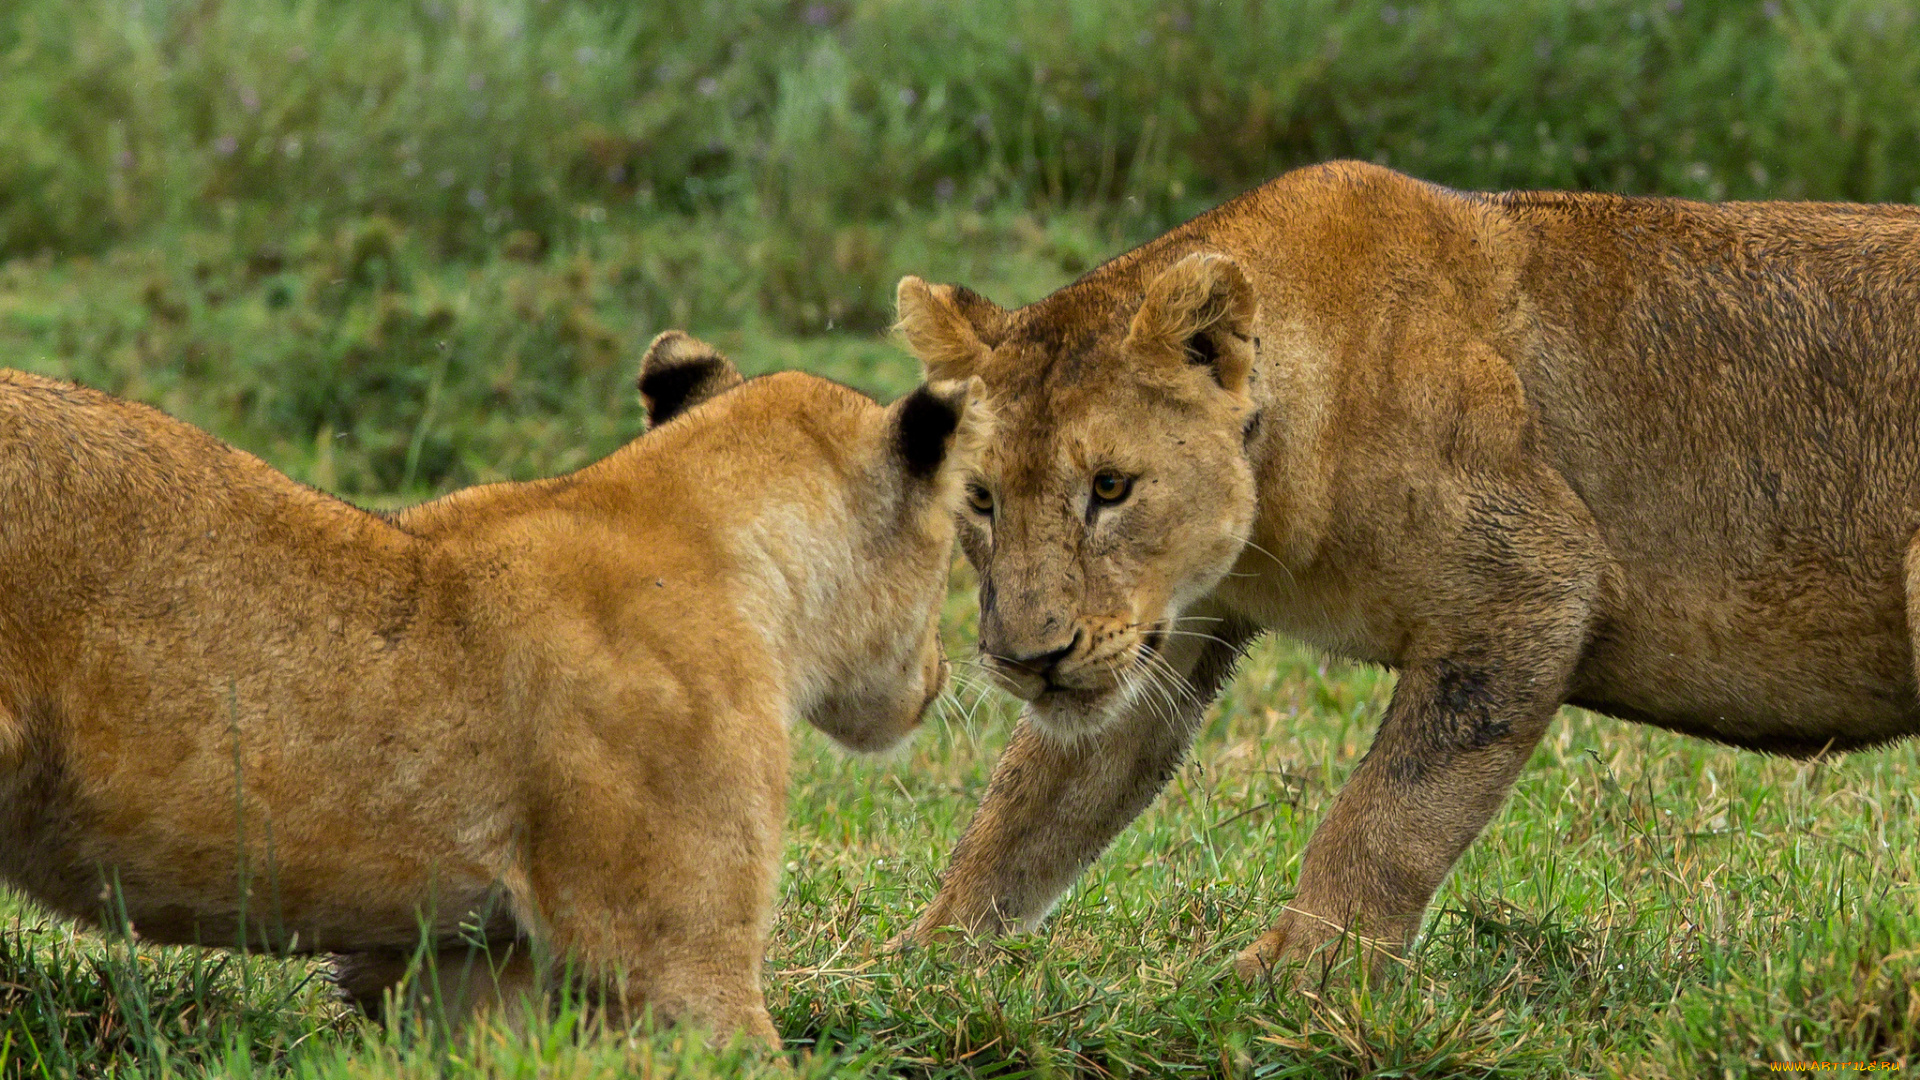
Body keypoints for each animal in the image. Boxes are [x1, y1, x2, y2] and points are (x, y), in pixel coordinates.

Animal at [890, 157, 1920, 976]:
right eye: (980, 498)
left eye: (1110, 486)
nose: (1026, 660)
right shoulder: (1161, 632)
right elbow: (1030, 811)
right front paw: (912, 962)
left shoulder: (1534, 579)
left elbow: (1387, 813)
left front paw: (1296, 976)